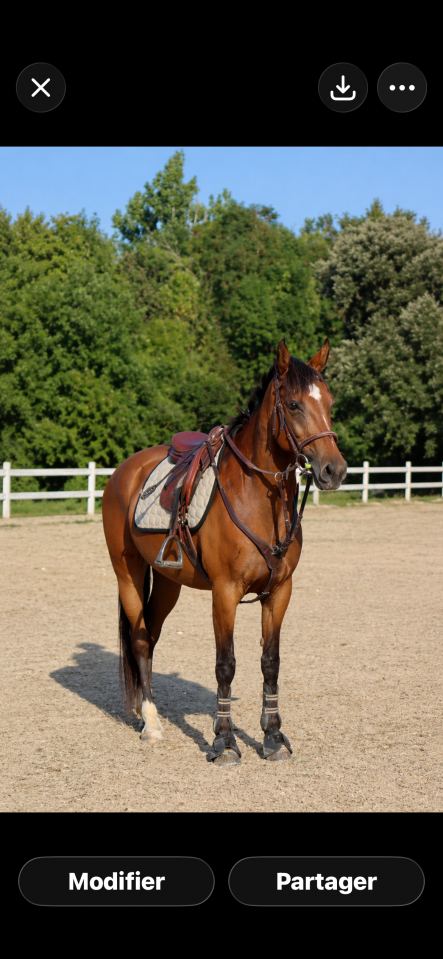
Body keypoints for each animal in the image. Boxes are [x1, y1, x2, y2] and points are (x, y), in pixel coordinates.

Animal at [102, 338, 347, 764]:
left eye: (330, 402)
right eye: (294, 404)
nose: (335, 470)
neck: (257, 499)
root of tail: (123, 471)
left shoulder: (279, 592)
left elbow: (270, 663)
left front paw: (272, 737)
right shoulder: (225, 592)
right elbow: (226, 665)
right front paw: (225, 741)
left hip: (167, 583)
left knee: (151, 635)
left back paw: (144, 710)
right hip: (127, 574)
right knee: (139, 638)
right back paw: (151, 723)